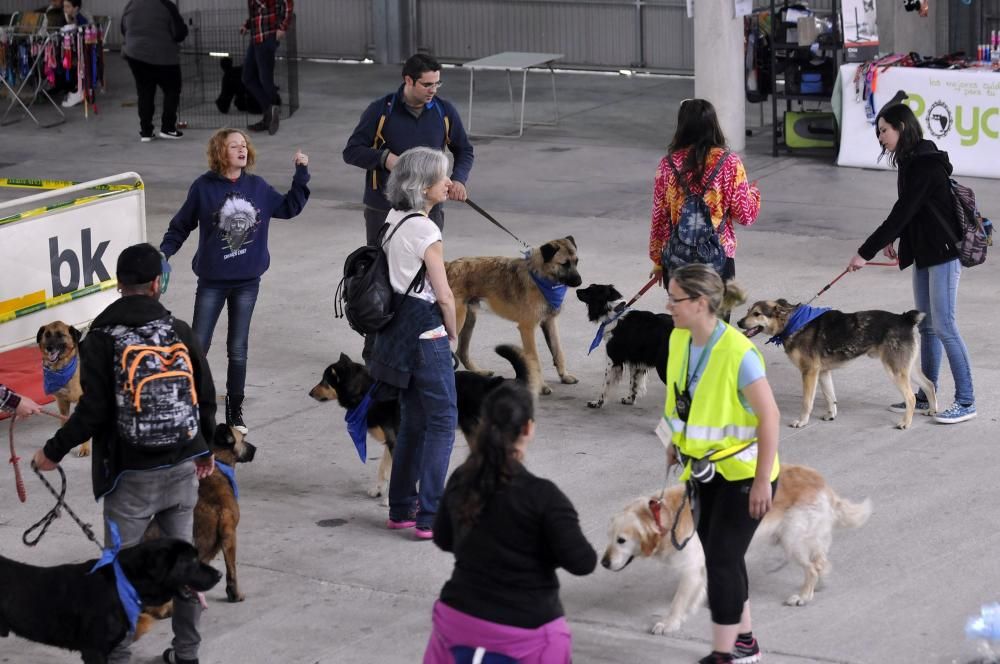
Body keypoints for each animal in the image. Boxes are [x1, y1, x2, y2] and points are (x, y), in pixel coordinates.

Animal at [308, 344, 532, 500]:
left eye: (324, 381)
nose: (310, 393)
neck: (367, 391)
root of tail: (495, 385)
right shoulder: (393, 440)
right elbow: (384, 467)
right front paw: (378, 489)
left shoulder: (398, 440)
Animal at [604, 464, 872, 636]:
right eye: (610, 537)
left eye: (622, 540)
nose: (604, 563)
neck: (665, 517)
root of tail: (822, 483)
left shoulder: (691, 567)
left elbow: (678, 601)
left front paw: (668, 623)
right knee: (821, 561)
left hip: (792, 540)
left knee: (814, 567)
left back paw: (803, 596)